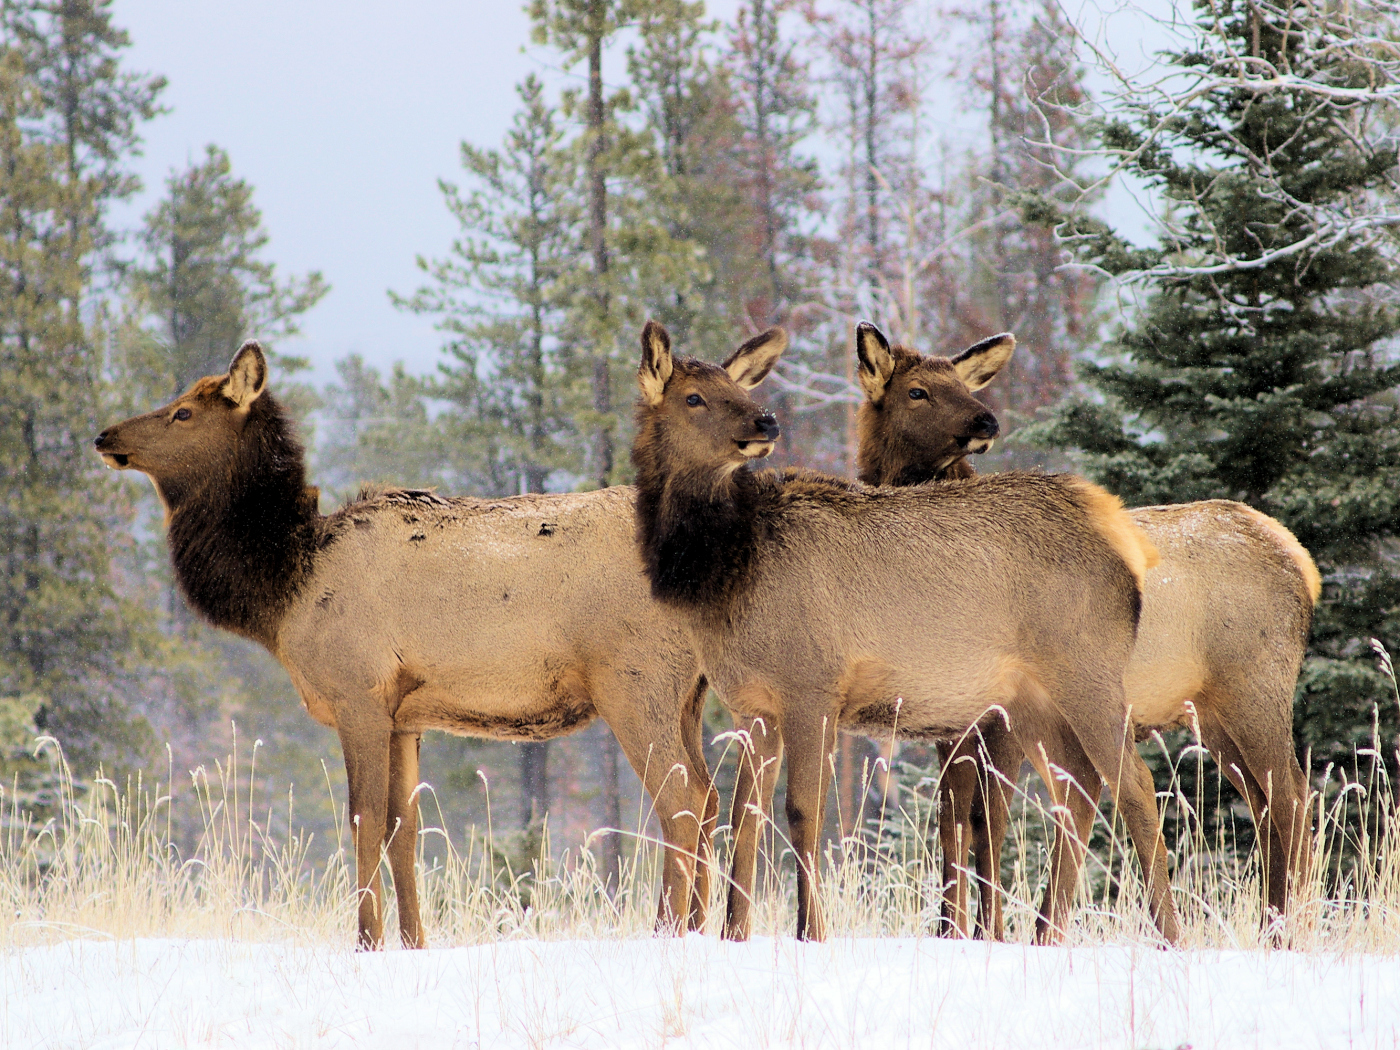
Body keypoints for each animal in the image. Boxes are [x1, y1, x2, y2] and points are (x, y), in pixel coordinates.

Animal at [95, 341, 722, 952]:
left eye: (183, 412)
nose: (105, 436)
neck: (287, 587)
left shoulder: (359, 697)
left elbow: (364, 819)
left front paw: (366, 940)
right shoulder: (404, 716)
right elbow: (405, 830)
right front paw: (413, 940)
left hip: (634, 681)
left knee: (682, 799)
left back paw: (668, 931)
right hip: (688, 693)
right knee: (711, 796)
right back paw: (703, 926)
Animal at [635, 319, 1181, 946]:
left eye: (738, 390)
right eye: (693, 398)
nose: (765, 421)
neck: (726, 569)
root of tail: (1126, 541)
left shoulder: (812, 685)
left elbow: (804, 812)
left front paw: (810, 931)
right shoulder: (754, 704)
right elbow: (744, 813)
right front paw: (733, 933)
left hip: (1086, 668)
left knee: (1136, 785)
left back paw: (1170, 932)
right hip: (1030, 700)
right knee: (1079, 787)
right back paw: (1046, 930)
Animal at [851, 323, 1321, 946]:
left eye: (964, 385)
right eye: (918, 392)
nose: (985, 421)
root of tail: (1300, 561)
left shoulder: (996, 716)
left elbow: (987, 817)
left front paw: (982, 930)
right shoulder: (955, 719)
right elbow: (953, 815)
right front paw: (955, 928)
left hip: (1254, 685)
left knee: (1291, 795)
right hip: (1209, 711)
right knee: (1265, 802)